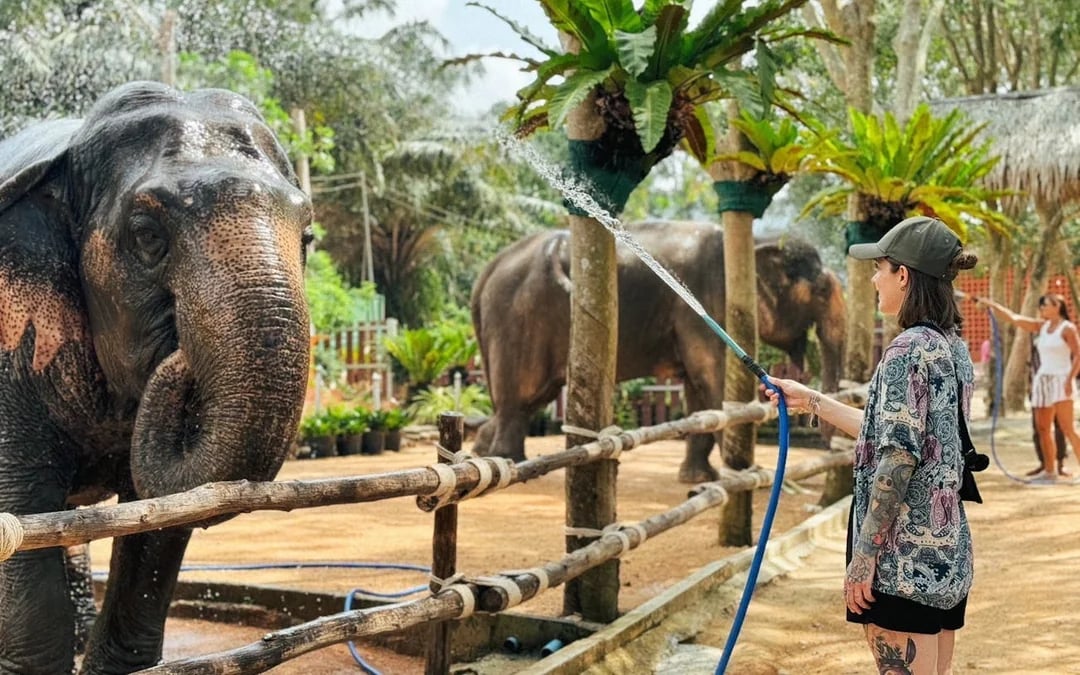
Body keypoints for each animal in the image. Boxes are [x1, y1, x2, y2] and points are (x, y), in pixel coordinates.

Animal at [470, 220, 845, 483]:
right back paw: (511, 462)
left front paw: (698, 479)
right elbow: (711, 379)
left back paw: (482, 455)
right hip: (518, 320)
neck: (756, 240)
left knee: (520, 401)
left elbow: (698, 393)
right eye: (821, 291)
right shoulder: (709, 299)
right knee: (518, 399)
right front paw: (744, 473)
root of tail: (487, 271)